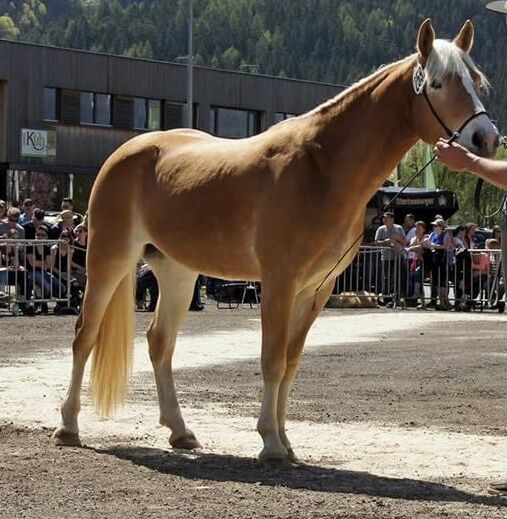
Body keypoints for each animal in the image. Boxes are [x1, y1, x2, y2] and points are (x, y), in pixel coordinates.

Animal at [52, 19, 500, 468]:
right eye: (438, 83)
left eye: (476, 82)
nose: (486, 139)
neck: (321, 168)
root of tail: (124, 153)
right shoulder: (279, 282)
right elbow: (271, 359)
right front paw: (269, 442)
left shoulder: (315, 289)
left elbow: (290, 361)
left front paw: (286, 441)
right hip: (108, 260)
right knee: (83, 335)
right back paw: (68, 427)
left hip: (178, 272)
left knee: (160, 342)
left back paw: (180, 432)